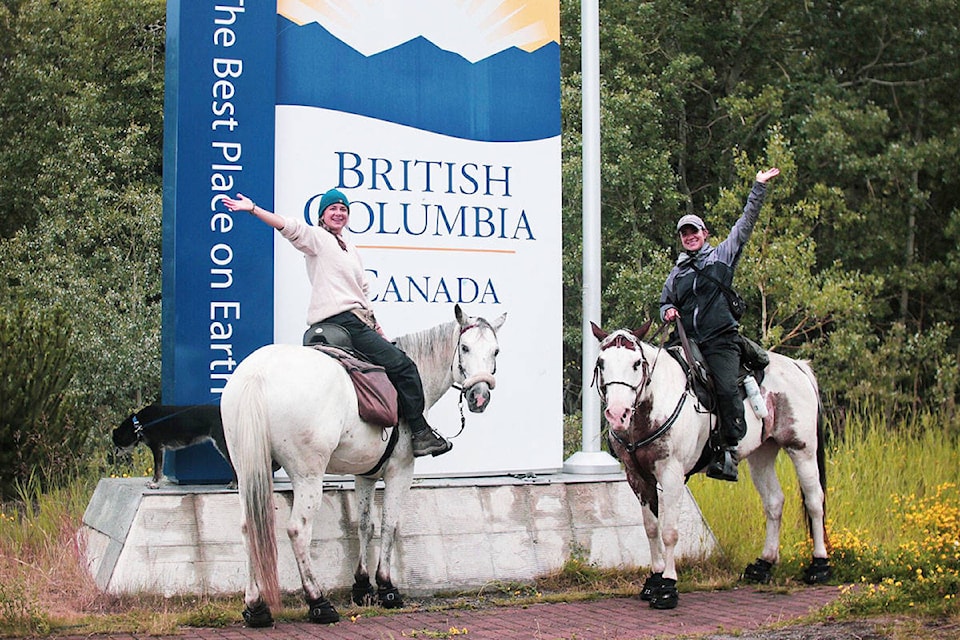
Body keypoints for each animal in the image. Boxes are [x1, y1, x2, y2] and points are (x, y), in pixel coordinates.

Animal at [221, 304, 506, 624]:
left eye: (495, 351)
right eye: (465, 347)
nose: (480, 397)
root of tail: (258, 374)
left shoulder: (365, 475)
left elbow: (365, 525)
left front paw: (361, 585)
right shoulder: (400, 471)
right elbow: (389, 524)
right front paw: (387, 588)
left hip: (248, 469)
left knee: (248, 528)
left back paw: (256, 606)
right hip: (307, 475)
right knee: (298, 530)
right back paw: (318, 602)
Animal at [588, 320, 828, 608]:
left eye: (636, 363)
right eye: (601, 363)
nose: (617, 414)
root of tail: (798, 367)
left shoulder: (671, 474)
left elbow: (669, 531)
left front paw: (667, 587)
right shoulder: (638, 477)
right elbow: (651, 528)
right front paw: (653, 580)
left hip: (802, 448)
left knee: (814, 501)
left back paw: (819, 566)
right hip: (762, 454)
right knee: (774, 503)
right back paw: (763, 565)